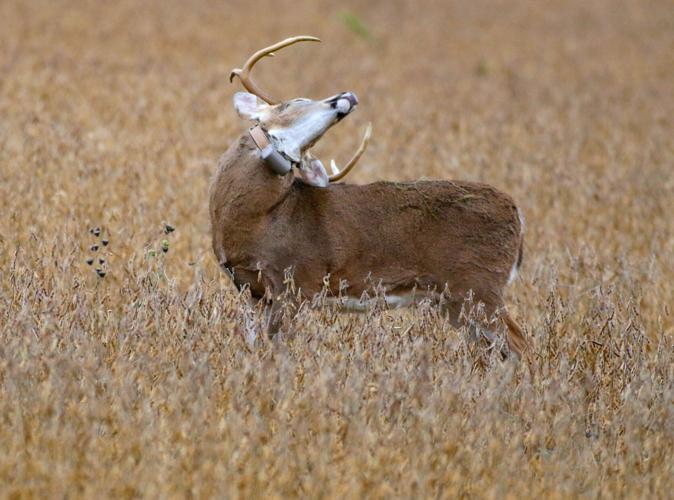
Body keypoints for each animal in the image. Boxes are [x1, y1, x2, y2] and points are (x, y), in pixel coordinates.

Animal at [209, 36, 529, 359]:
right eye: (296, 102)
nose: (346, 96)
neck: (257, 219)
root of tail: (517, 214)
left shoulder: (298, 282)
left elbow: (278, 349)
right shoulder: (253, 292)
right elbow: (255, 345)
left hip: (479, 284)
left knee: (520, 344)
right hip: (453, 300)